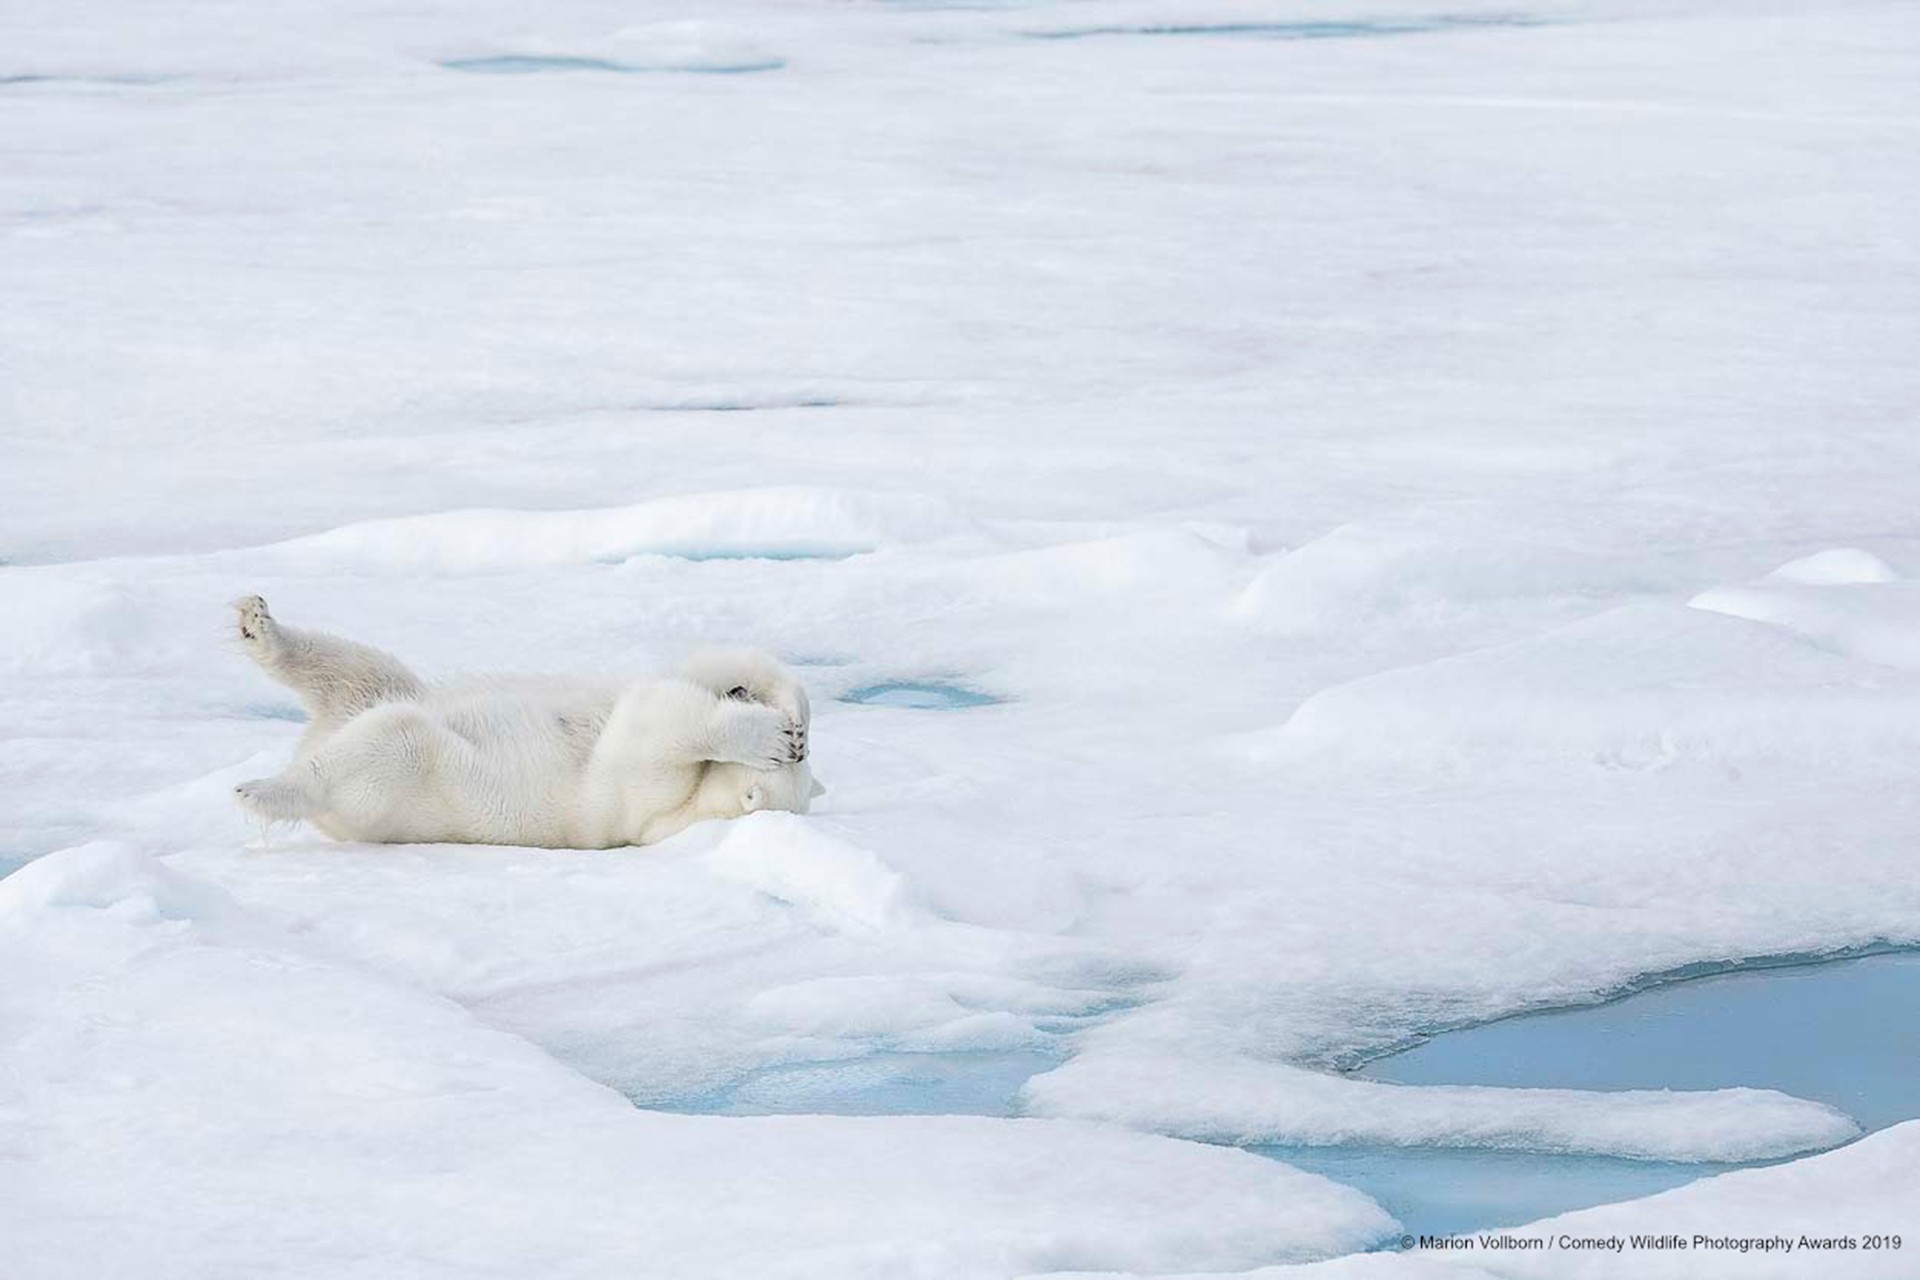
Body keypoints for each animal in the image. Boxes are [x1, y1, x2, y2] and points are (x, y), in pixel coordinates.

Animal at [228, 594, 821, 844]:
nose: (741, 697)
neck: (700, 807)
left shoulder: (644, 803)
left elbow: (656, 724)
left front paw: (767, 737)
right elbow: (694, 673)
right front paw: (788, 714)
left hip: (398, 786)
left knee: (390, 737)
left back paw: (261, 790)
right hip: (378, 691)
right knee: (360, 670)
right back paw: (258, 625)